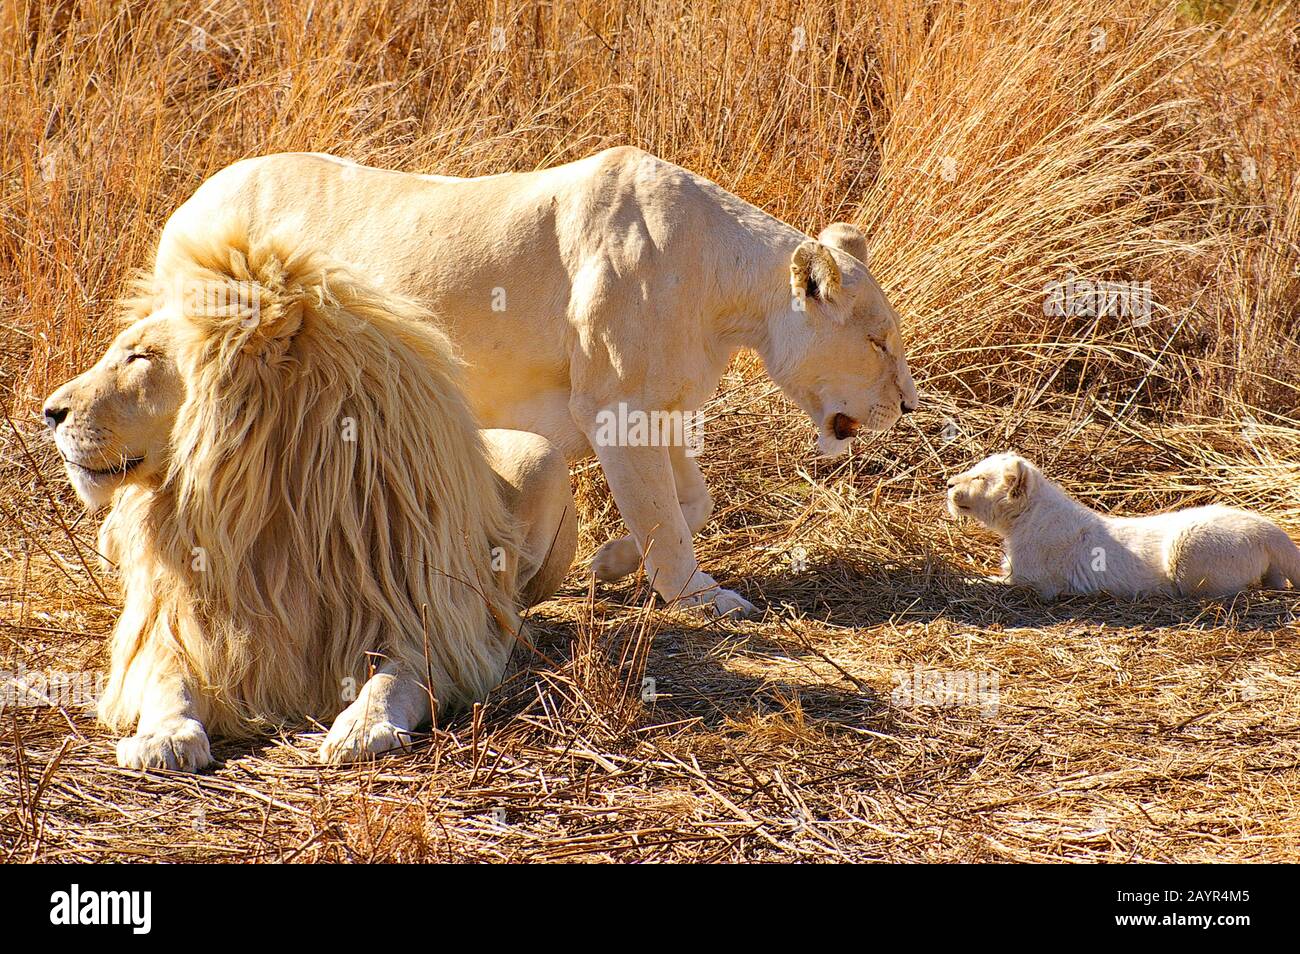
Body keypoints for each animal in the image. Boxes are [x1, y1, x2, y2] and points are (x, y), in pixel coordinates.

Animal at [44, 222, 574, 769]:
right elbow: (167, 678)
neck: (267, 505)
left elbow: (395, 678)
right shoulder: (176, 624)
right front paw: (163, 737)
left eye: (139, 357)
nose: (49, 412)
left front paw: (362, 727)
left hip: (543, 457)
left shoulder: (433, 624)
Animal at [154, 145, 925, 616]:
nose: (910, 406)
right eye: (879, 341)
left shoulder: (661, 407)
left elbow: (690, 502)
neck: (727, 291)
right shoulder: (618, 405)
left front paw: (610, 563)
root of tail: (185, 207)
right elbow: (663, 517)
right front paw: (703, 597)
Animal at [946, 454, 1300, 600]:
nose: (948, 483)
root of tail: (1268, 530)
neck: (1025, 519)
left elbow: (988, 582)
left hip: (1190, 554)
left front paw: (960, 580)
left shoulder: (1035, 582)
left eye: (979, 477)